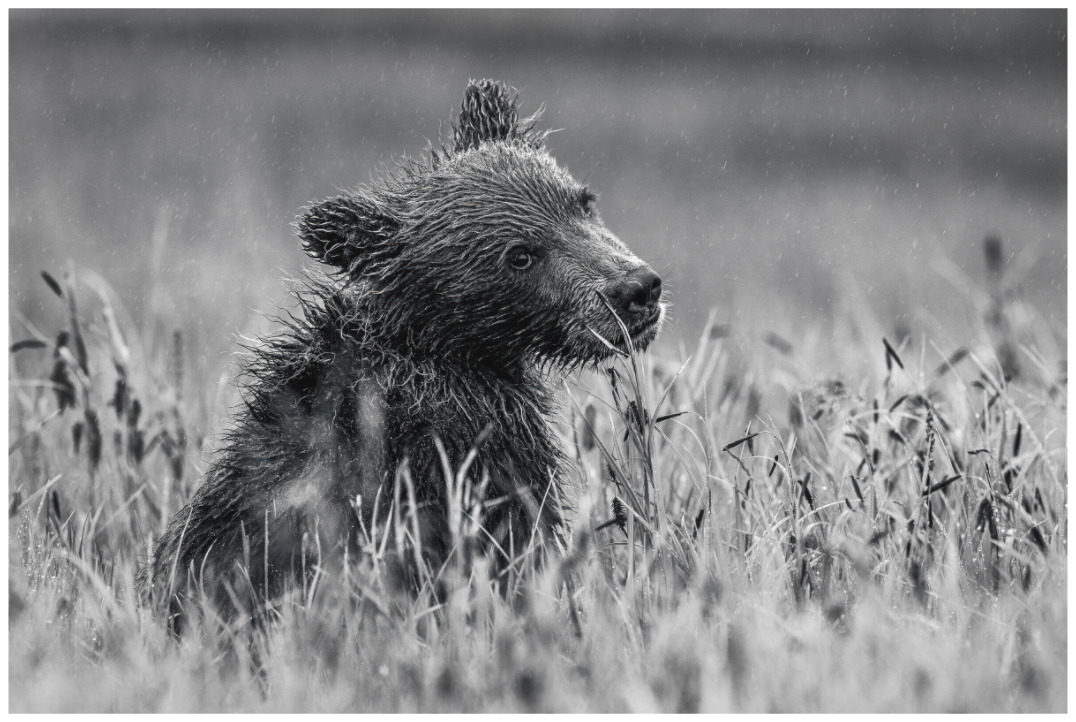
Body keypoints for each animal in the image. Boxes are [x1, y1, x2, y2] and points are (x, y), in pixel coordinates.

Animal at [138, 79, 665, 628]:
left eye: (582, 202)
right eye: (520, 254)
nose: (636, 288)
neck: (444, 348)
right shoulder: (476, 452)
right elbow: (519, 547)